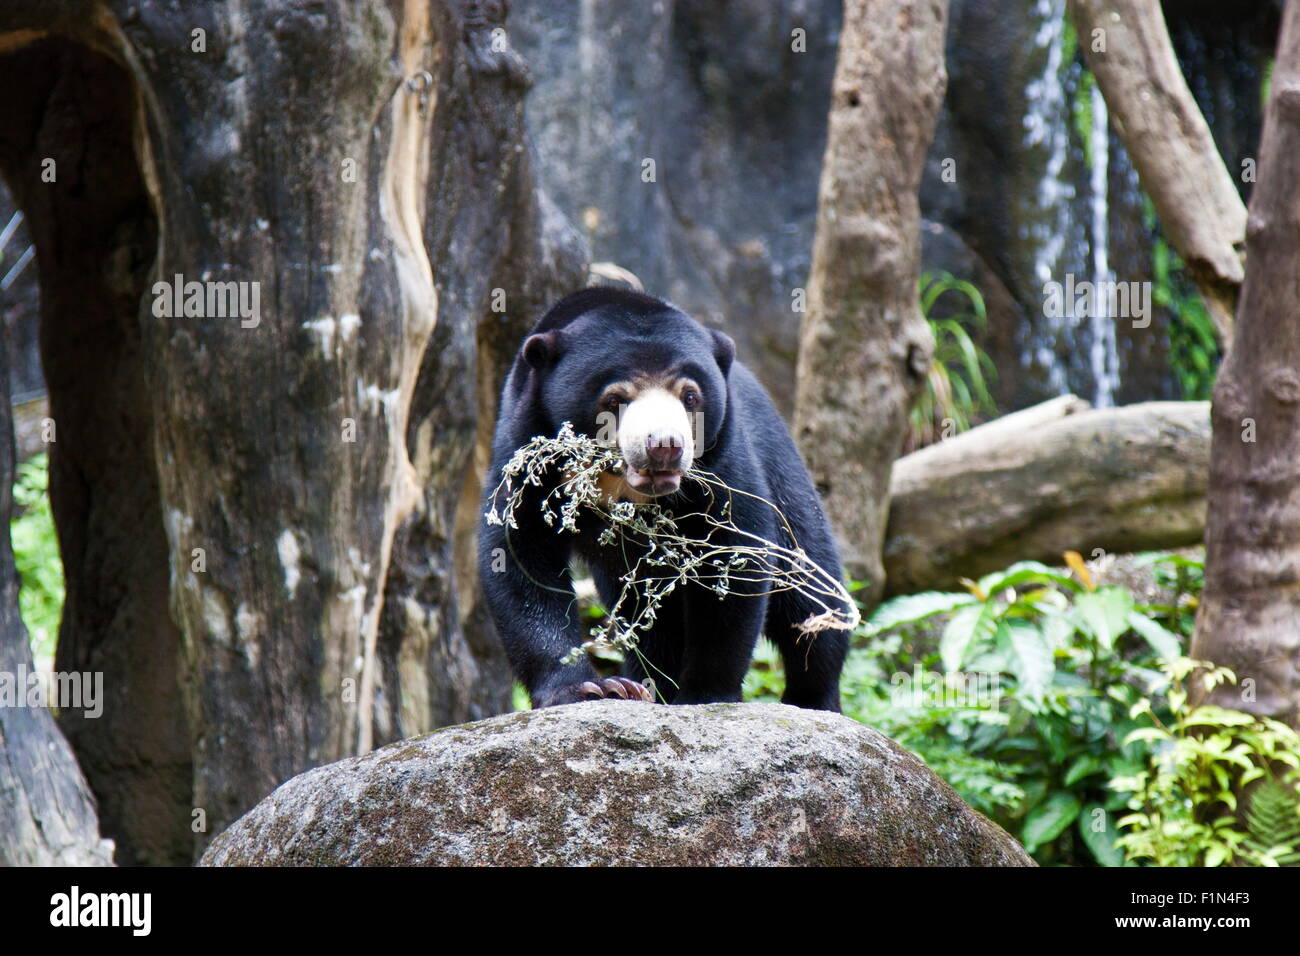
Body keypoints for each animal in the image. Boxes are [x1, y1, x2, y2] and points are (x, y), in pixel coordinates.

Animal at [483, 287, 847, 712]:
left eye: (690, 395)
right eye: (615, 399)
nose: (664, 446)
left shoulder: (723, 462)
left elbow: (735, 556)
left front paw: (705, 694)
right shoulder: (528, 452)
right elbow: (521, 556)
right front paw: (589, 689)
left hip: (786, 476)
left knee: (812, 597)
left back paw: (813, 698)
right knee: (649, 619)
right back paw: (645, 686)